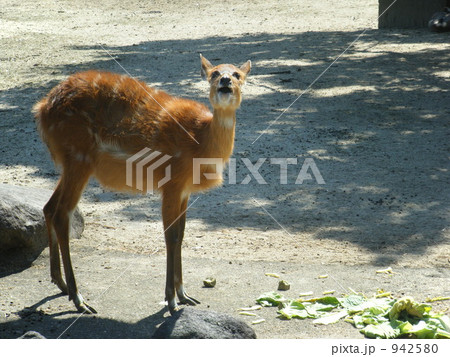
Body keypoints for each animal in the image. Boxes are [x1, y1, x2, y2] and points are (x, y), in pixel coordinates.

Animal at [34, 54, 253, 312]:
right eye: (214, 73)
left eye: (238, 74)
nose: (226, 81)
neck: (200, 141)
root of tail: (41, 108)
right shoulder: (171, 182)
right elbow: (171, 236)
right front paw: (171, 300)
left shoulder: (185, 190)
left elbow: (181, 234)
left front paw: (184, 295)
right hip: (78, 156)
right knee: (62, 214)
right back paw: (79, 299)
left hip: (71, 163)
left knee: (49, 207)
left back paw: (61, 284)